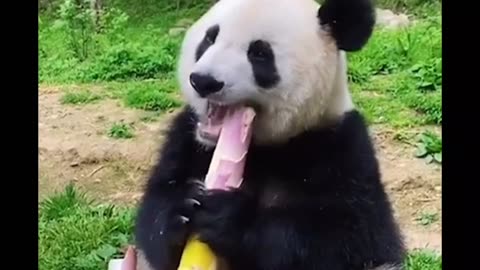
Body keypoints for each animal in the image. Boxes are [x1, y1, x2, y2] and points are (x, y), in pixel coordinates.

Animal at [134, 0, 404, 270]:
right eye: (210, 38)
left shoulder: (340, 149)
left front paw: (228, 217)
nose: (203, 81)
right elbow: (156, 210)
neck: (265, 147)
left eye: (259, 53)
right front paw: (181, 208)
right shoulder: (186, 141)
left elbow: (351, 237)